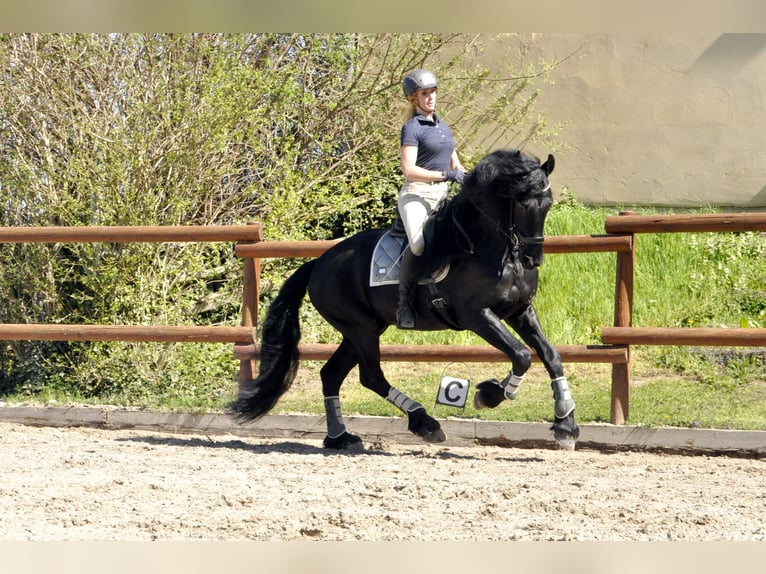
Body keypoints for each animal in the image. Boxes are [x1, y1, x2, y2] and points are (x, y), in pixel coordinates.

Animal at [231, 148, 580, 451]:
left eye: (548, 203)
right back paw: (424, 423)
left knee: (331, 375)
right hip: (361, 329)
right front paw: (489, 394)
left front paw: (566, 425)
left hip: (362, 330)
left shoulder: (519, 310)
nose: (533, 259)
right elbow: (521, 354)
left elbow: (550, 356)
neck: (495, 251)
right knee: (371, 376)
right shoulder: (477, 315)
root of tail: (319, 263)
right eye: (522, 204)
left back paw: (340, 437)